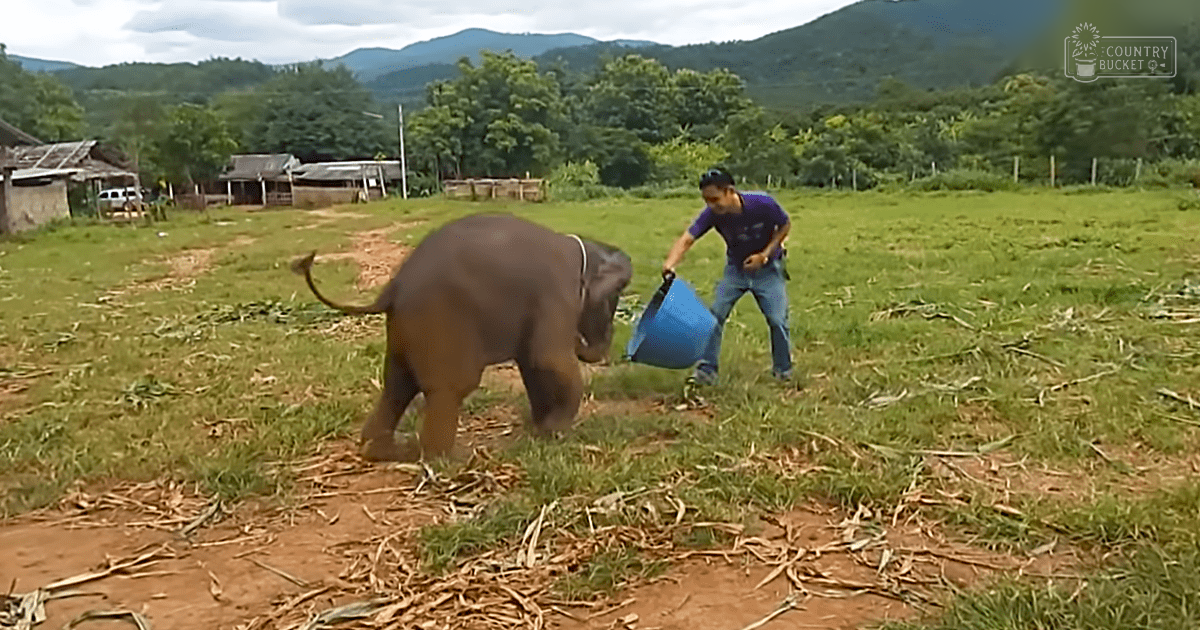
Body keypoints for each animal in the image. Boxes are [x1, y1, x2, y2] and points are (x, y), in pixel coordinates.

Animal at [291, 212, 634, 463]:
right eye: (615, 296)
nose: (583, 341)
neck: (580, 248)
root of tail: (392, 288)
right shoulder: (556, 294)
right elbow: (548, 359)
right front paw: (558, 433)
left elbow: (532, 364)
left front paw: (541, 431)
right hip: (439, 323)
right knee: (448, 389)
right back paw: (449, 459)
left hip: (404, 332)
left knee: (396, 386)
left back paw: (384, 452)